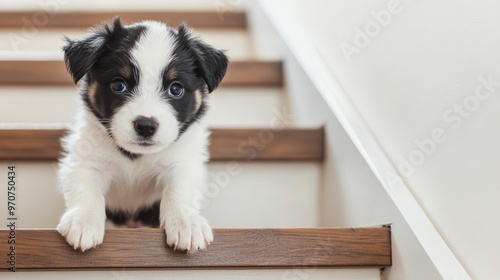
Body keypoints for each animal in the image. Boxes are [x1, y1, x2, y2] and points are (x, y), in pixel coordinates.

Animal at [56, 18, 227, 254]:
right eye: (119, 85)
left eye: (176, 89)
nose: (146, 126)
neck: (136, 156)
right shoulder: (85, 160)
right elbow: (86, 187)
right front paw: (84, 221)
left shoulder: (183, 162)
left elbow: (179, 190)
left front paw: (186, 223)